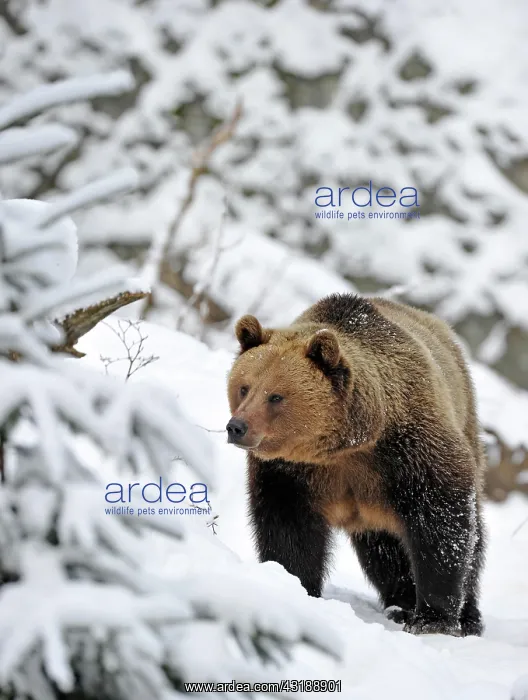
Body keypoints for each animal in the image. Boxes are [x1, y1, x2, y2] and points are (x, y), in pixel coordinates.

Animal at [226, 293, 486, 637]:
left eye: (276, 396)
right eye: (244, 387)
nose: (236, 427)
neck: (345, 445)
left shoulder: (409, 451)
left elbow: (442, 525)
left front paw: (434, 618)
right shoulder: (291, 473)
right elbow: (288, 529)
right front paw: (295, 584)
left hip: (464, 421)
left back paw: (467, 616)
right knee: (384, 550)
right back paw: (400, 602)